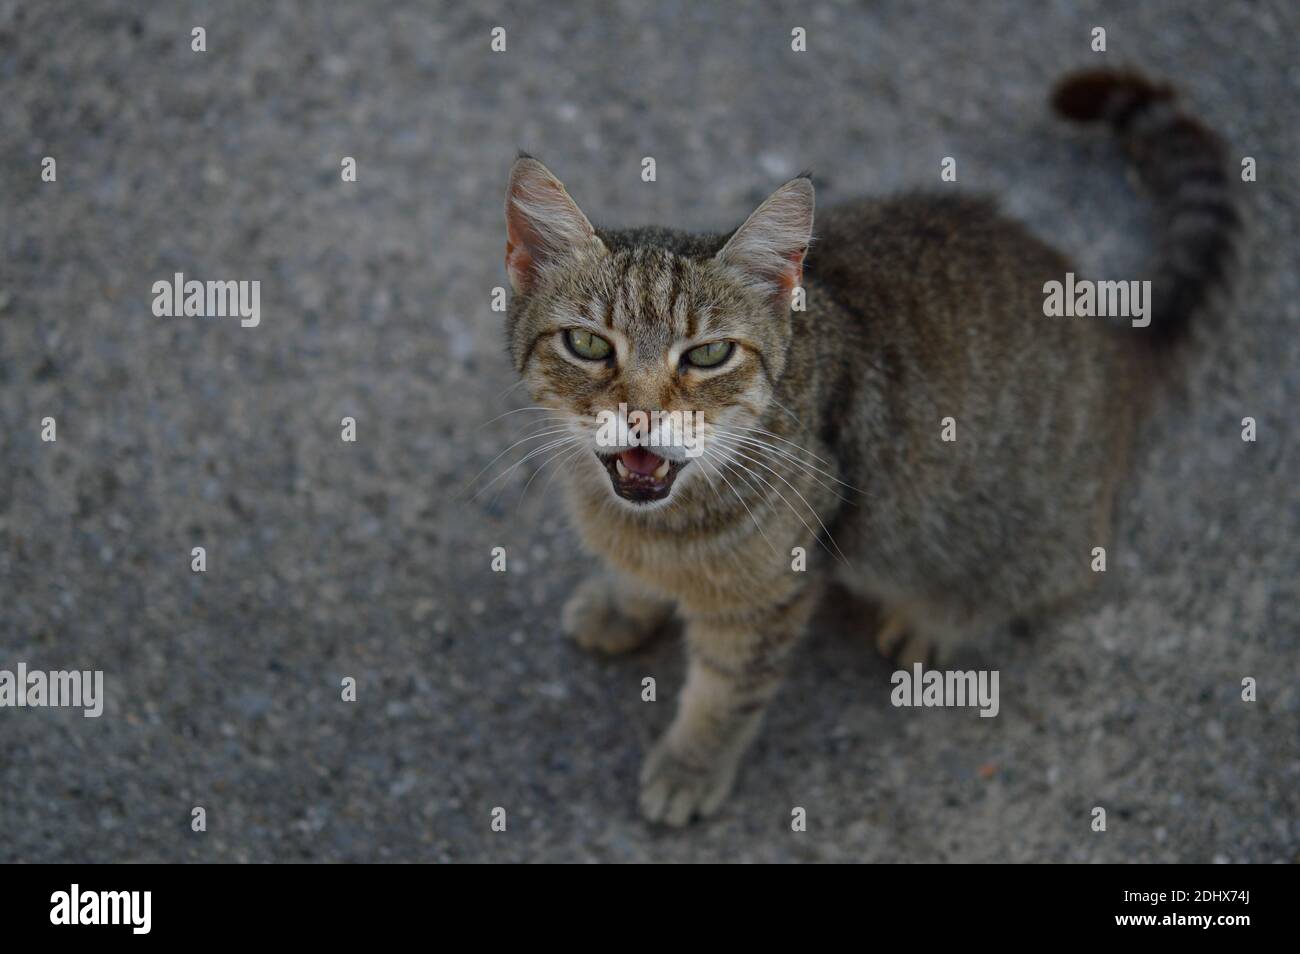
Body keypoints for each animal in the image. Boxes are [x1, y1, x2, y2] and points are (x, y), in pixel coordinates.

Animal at [496, 70, 1237, 826]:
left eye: (707, 354)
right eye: (587, 344)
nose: (642, 416)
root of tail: (1111, 337)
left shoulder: (771, 594)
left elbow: (726, 691)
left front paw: (691, 763)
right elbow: (636, 575)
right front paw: (623, 602)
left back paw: (934, 620)